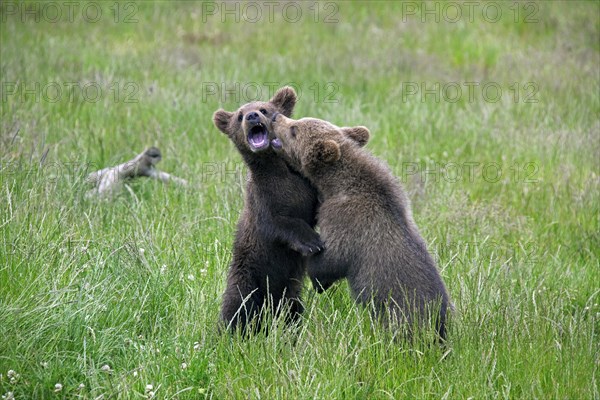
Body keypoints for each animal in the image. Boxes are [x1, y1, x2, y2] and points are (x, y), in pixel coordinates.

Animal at [270, 114, 450, 340]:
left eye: (294, 129)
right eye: (298, 121)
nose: (275, 117)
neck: (336, 184)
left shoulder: (345, 218)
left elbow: (333, 257)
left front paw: (317, 277)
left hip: (401, 314)